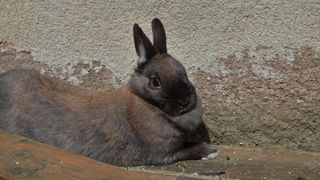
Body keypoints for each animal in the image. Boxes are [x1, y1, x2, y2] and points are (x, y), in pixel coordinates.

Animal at [0, 18, 218, 166]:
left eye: (184, 73)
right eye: (155, 82)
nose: (185, 101)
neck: (144, 102)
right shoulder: (161, 153)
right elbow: (187, 150)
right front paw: (211, 151)